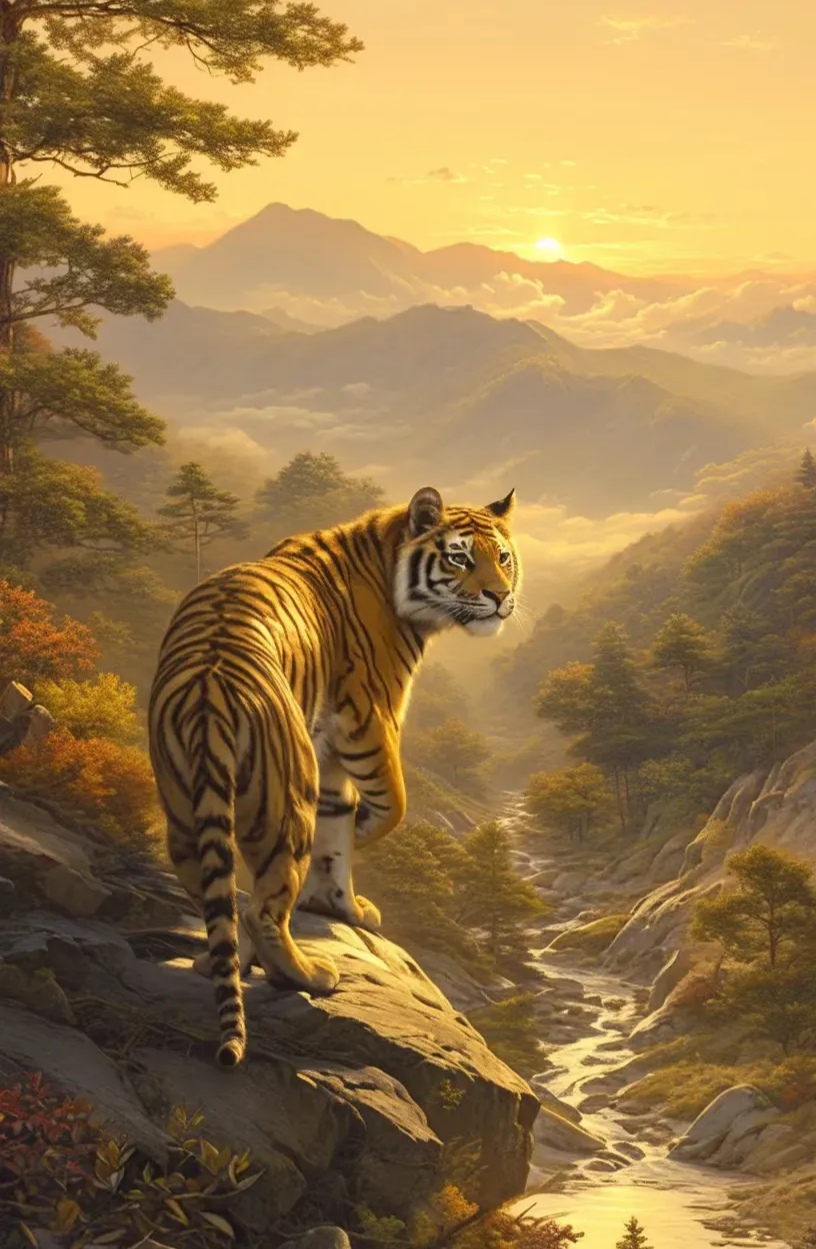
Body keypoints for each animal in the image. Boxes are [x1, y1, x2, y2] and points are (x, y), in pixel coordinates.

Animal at [148, 485, 520, 1068]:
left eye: (502, 557)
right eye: (461, 558)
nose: (500, 597)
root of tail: (209, 686)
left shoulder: (326, 747)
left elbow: (336, 833)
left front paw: (339, 904)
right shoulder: (370, 720)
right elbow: (389, 807)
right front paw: (357, 853)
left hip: (185, 808)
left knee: (224, 902)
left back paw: (222, 962)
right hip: (285, 803)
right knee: (263, 909)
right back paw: (309, 975)